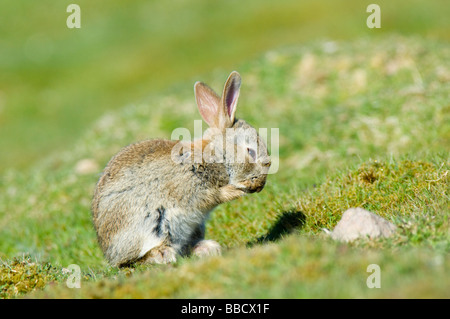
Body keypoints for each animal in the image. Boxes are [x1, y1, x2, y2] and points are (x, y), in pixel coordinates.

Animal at [91, 72, 270, 268]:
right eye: (250, 151)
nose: (259, 185)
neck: (213, 155)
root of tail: (109, 253)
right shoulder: (189, 188)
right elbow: (212, 196)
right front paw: (235, 191)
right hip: (148, 225)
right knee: (132, 260)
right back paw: (162, 254)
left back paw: (206, 248)